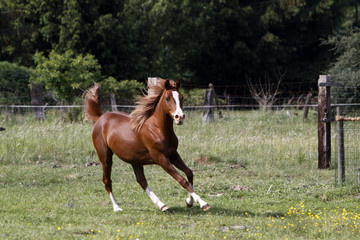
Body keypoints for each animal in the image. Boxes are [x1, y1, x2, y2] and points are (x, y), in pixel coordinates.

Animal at [84, 79, 210, 212]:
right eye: (167, 98)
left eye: (181, 97)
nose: (179, 117)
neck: (157, 129)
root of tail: (101, 117)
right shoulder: (161, 158)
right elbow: (181, 180)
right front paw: (203, 203)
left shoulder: (173, 154)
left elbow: (189, 172)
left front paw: (189, 202)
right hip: (105, 157)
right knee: (107, 180)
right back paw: (117, 207)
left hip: (135, 160)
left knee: (141, 181)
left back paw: (162, 206)